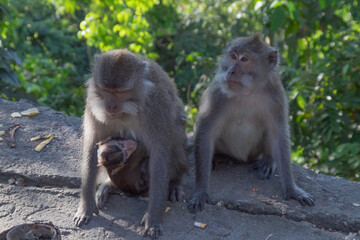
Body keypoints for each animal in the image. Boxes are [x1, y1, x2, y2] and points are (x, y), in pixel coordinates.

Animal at [188, 34, 316, 214]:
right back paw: (219, 157)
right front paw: (200, 191)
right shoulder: (218, 94)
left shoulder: (276, 95)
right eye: (233, 56)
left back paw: (268, 160)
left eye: (244, 59)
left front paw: (292, 190)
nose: (231, 71)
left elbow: (279, 134)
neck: (248, 91)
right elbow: (206, 132)